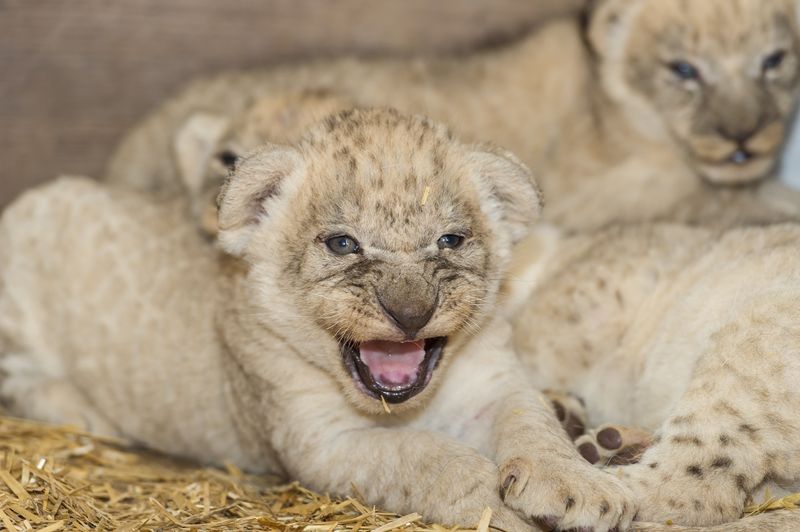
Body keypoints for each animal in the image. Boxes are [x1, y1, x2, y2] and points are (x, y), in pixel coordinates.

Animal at [0, 109, 636, 531]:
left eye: (450, 240)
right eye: (342, 243)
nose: (411, 313)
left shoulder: (493, 382)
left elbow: (532, 423)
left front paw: (583, 488)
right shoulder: (319, 442)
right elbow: (430, 457)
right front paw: (497, 506)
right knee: (21, 380)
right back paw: (84, 413)